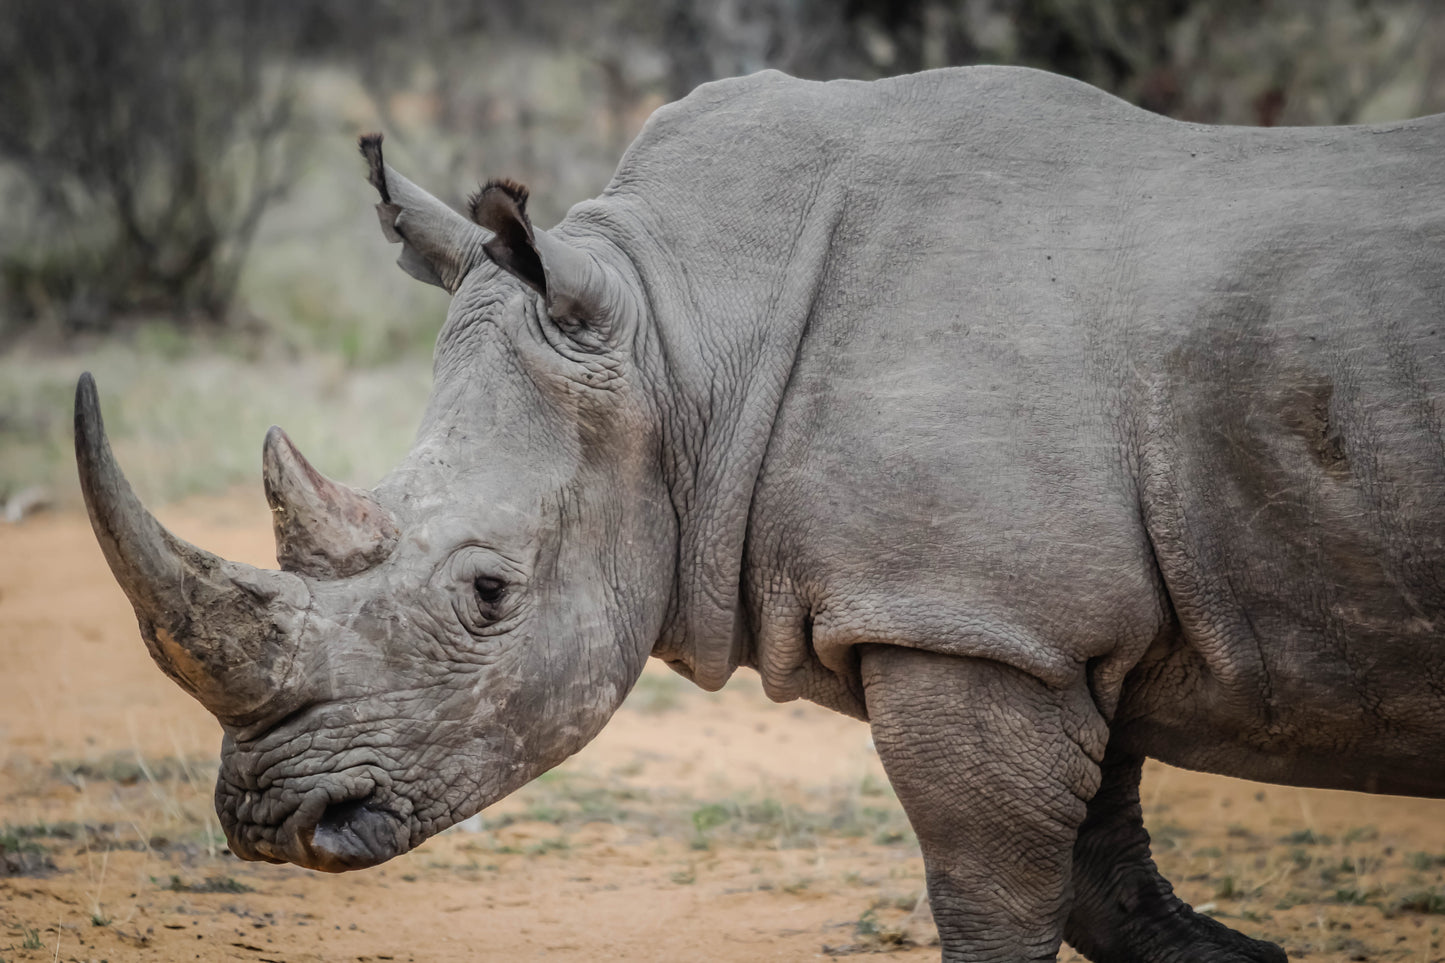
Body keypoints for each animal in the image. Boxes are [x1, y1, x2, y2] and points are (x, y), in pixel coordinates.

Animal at [74, 65, 1445, 961]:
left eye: (487, 594)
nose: (272, 824)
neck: (680, 334)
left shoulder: (966, 620)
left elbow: (996, 892)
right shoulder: (1039, 620)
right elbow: (1100, 865)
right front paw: (1238, 960)